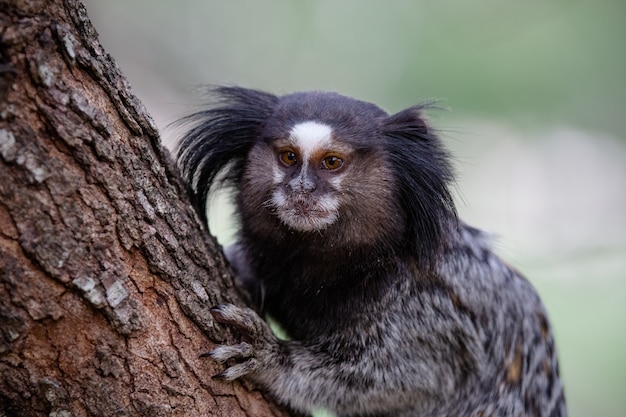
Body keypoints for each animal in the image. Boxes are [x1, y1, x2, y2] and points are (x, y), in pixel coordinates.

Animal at [176, 87, 564, 416]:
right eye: (288, 157)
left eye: (332, 162)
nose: (302, 188)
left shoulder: (429, 312)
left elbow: (406, 378)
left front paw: (270, 357)